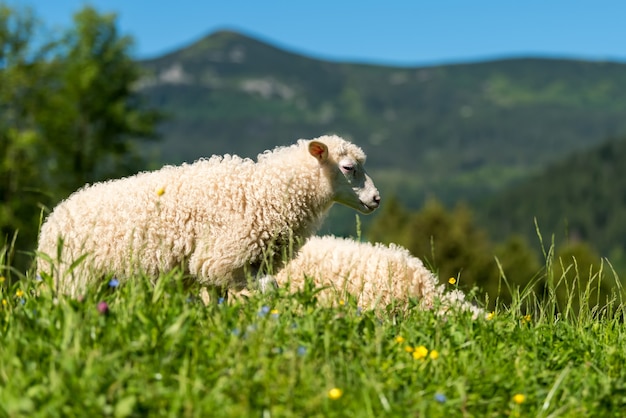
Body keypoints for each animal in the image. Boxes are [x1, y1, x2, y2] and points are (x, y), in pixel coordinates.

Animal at [39, 136, 382, 296]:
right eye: (348, 167)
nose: (376, 199)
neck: (269, 190)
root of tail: (56, 214)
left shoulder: (227, 269)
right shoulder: (221, 261)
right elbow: (268, 289)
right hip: (71, 279)